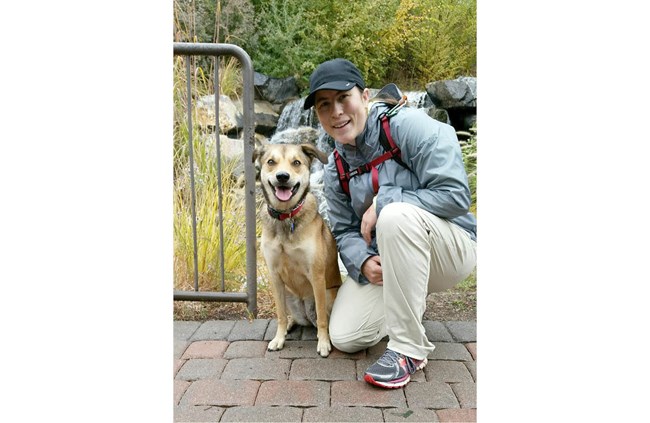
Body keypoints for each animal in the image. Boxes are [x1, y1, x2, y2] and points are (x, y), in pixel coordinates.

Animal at [253, 142, 342, 358]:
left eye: (296, 162)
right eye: (271, 161)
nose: (282, 177)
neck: (286, 217)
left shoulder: (316, 275)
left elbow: (322, 319)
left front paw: (323, 343)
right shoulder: (274, 275)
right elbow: (280, 315)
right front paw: (279, 338)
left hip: (328, 294)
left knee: (320, 317)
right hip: (286, 293)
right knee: (287, 314)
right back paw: (289, 325)